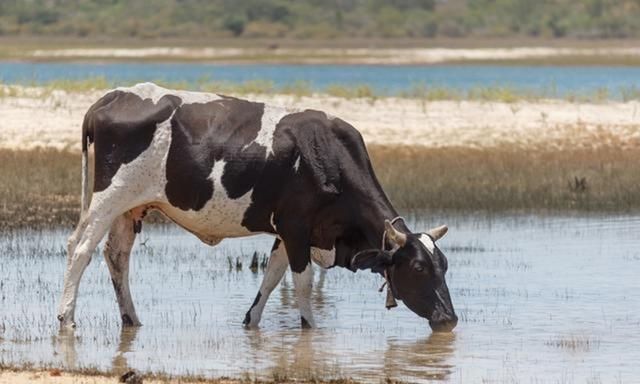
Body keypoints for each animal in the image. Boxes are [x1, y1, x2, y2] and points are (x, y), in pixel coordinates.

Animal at [57, 82, 458, 332]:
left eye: (444, 266)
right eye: (419, 268)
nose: (449, 319)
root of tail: (113, 97)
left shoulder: (286, 230)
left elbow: (270, 279)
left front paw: (251, 323)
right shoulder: (296, 228)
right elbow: (302, 284)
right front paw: (310, 331)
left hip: (131, 207)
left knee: (117, 256)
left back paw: (132, 320)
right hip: (108, 198)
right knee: (80, 248)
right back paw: (67, 318)